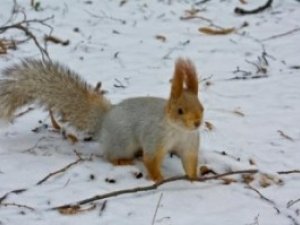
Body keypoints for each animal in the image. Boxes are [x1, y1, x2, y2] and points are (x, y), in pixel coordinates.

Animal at [0, 58, 204, 181]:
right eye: (180, 110)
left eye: (202, 107)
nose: (197, 123)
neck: (179, 130)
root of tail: (105, 119)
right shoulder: (155, 137)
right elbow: (152, 160)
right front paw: (158, 179)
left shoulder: (190, 144)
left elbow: (189, 161)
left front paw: (195, 178)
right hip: (123, 142)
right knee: (110, 156)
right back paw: (122, 161)